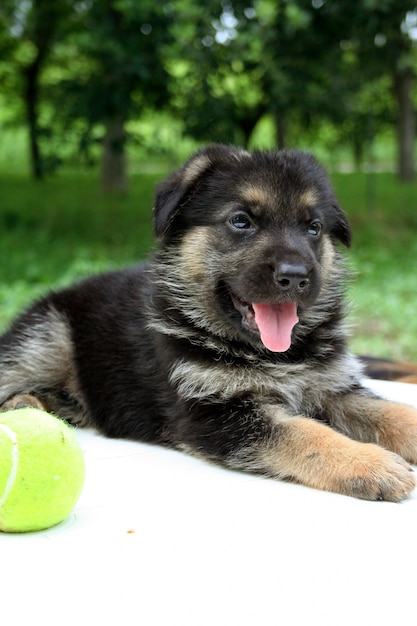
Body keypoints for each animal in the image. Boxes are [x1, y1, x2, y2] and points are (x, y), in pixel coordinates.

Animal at [0, 144, 416, 500]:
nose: (296, 277)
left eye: (313, 228)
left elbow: (391, 412)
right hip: (46, 339)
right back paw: (23, 401)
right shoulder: (213, 412)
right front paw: (369, 462)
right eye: (241, 221)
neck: (273, 354)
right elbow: (303, 432)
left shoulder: (333, 387)